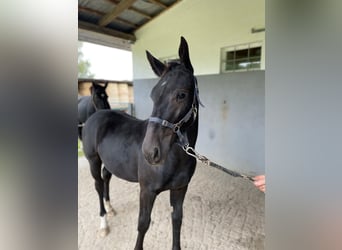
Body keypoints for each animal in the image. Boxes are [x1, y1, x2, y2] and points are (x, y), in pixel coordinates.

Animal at [82, 37, 200, 250]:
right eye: (153, 95)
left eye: (181, 95)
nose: (150, 152)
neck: (175, 157)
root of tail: (96, 115)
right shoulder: (147, 191)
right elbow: (143, 224)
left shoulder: (180, 189)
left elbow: (177, 220)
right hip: (93, 160)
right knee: (98, 184)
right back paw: (104, 223)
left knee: (105, 178)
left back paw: (110, 208)